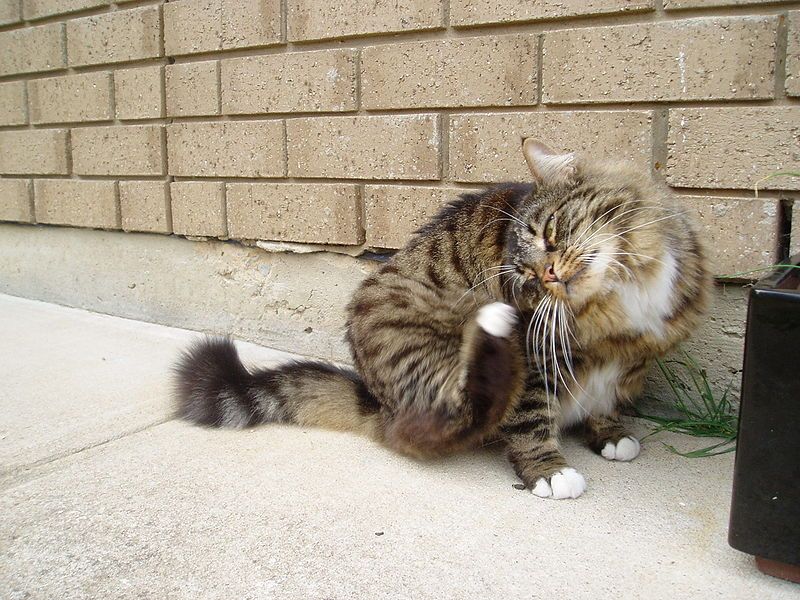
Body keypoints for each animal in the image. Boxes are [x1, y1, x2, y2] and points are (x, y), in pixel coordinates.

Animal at [175, 138, 712, 500]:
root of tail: (380, 403)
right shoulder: (538, 352)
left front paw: (612, 433)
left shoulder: (636, 357)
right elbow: (531, 420)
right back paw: (489, 338)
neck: (619, 304)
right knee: (448, 418)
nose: (551, 275)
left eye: (551, 235)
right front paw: (549, 471)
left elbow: (608, 400)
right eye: (528, 279)